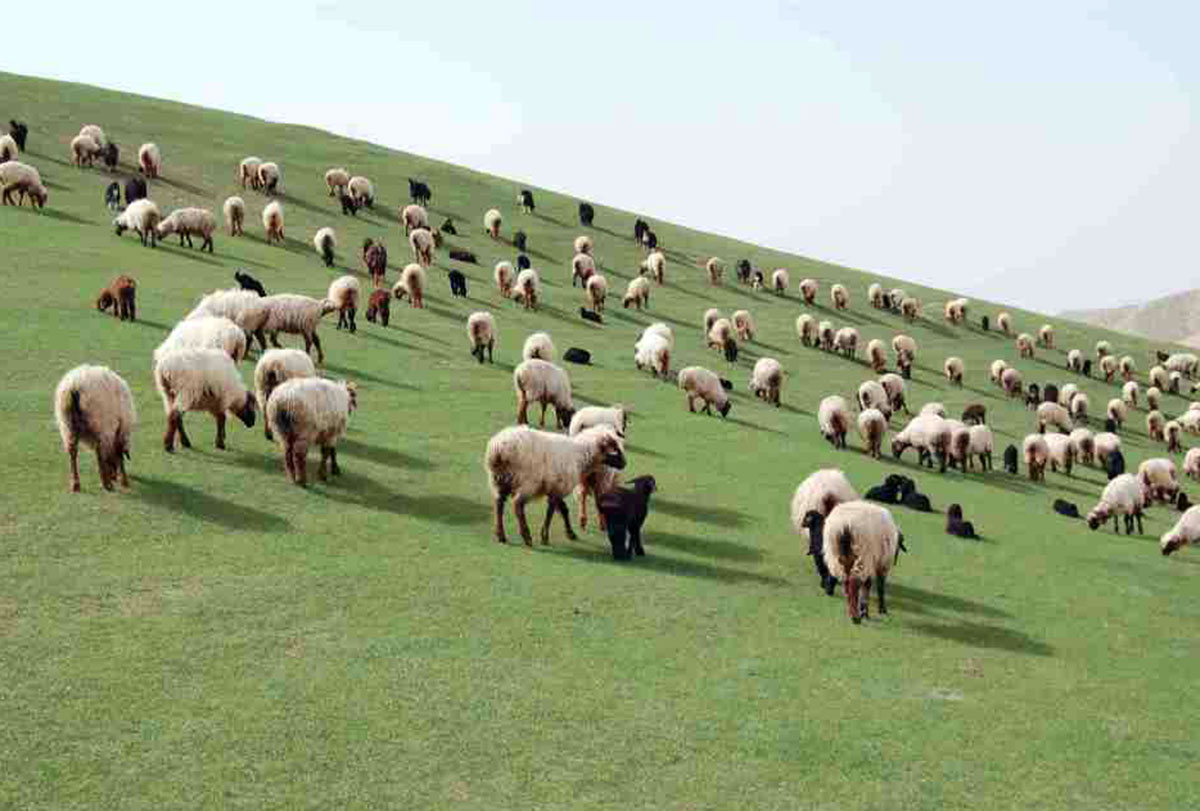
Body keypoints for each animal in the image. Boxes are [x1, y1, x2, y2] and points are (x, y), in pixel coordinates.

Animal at [484, 422, 628, 547]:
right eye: (614, 448)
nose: (624, 463)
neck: (581, 455)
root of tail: (499, 448)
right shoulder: (558, 488)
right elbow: (551, 512)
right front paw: (545, 536)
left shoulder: (555, 487)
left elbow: (563, 510)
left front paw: (570, 533)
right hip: (528, 482)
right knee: (517, 505)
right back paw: (526, 536)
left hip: (499, 480)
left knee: (499, 504)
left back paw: (501, 535)